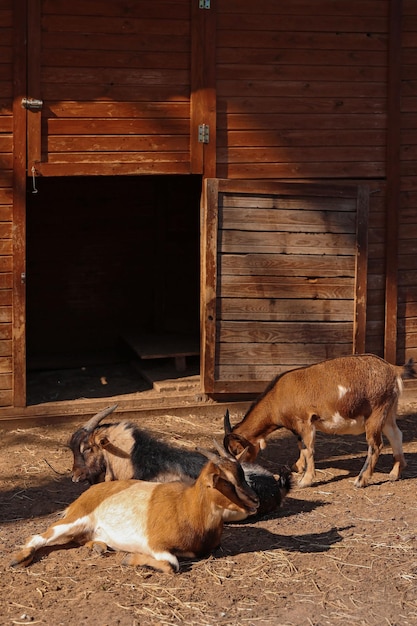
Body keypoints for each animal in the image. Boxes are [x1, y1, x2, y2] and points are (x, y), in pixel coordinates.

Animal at [224, 354, 416, 486]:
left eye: (237, 451)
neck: (278, 396)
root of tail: (393, 369)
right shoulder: (297, 427)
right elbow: (300, 446)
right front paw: (297, 467)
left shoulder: (305, 421)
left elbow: (308, 448)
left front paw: (306, 480)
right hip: (388, 411)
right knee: (396, 435)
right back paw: (395, 472)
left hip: (376, 412)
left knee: (376, 445)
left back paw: (361, 480)